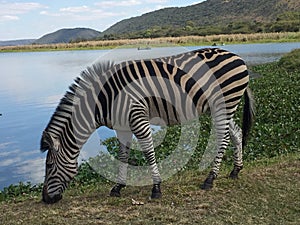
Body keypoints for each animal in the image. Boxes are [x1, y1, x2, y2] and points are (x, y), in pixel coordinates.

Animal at [40, 48, 255, 204]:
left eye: (49, 166)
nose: (45, 199)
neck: (105, 99)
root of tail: (237, 56)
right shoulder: (122, 127)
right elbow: (123, 155)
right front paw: (118, 187)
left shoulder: (137, 117)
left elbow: (149, 152)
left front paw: (156, 188)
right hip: (221, 107)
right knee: (235, 133)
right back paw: (236, 170)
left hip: (224, 102)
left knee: (223, 138)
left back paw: (210, 179)